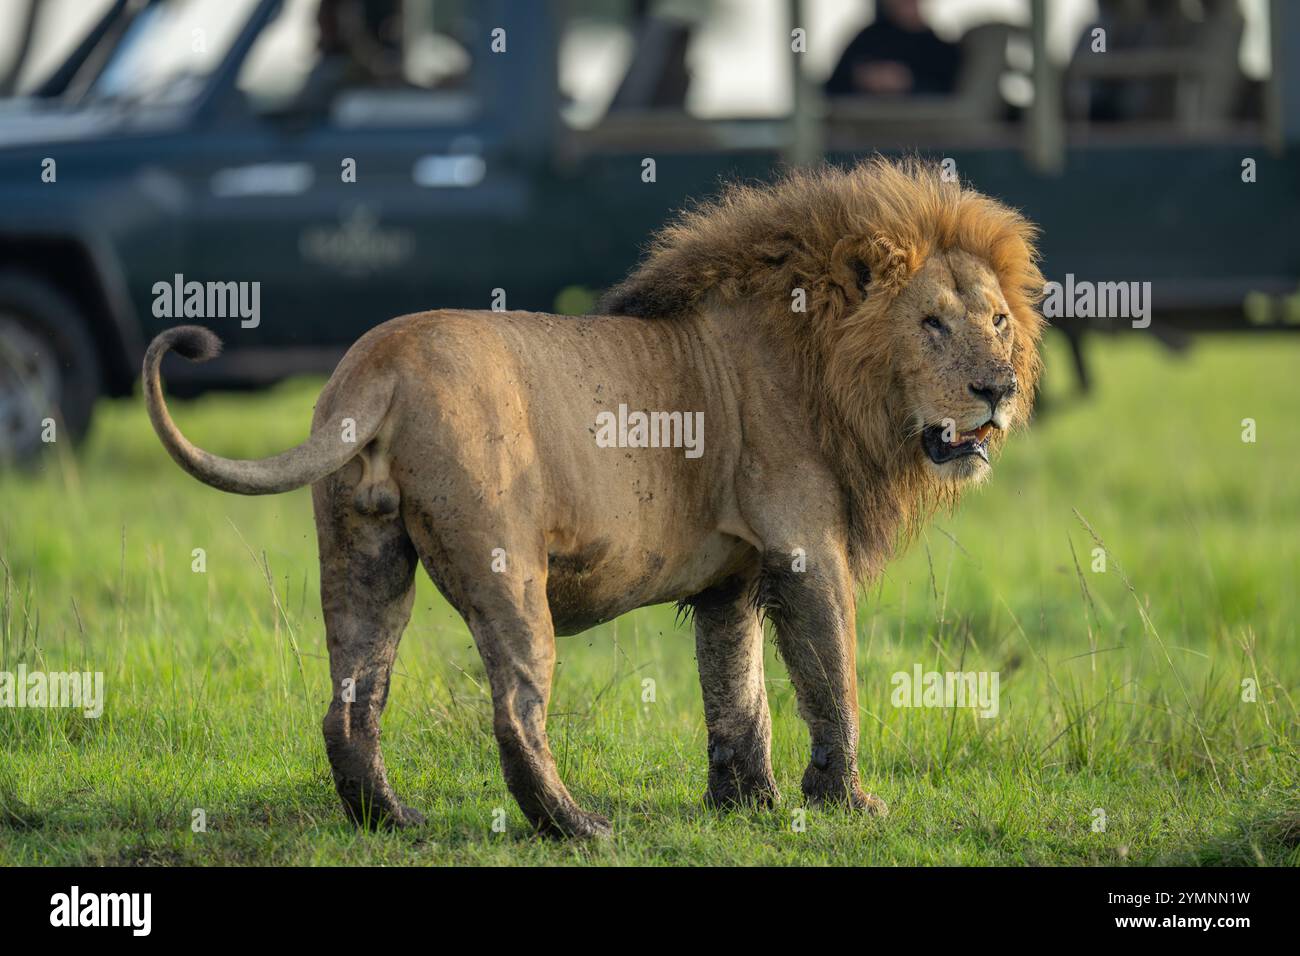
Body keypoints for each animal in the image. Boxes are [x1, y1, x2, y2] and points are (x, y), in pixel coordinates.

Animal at [144, 157, 1045, 837]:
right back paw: (576, 827)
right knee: (515, 708)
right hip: (509, 569)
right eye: (931, 323)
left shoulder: (730, 576)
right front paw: (848, 804)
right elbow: (832, 679)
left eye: (998, 321)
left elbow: (737, 690)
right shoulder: (805, 549)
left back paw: (391, 820)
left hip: (363, 555)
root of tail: (379, 365)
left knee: (351, 703)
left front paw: (745, 805)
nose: (997, 391)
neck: (831, 370)